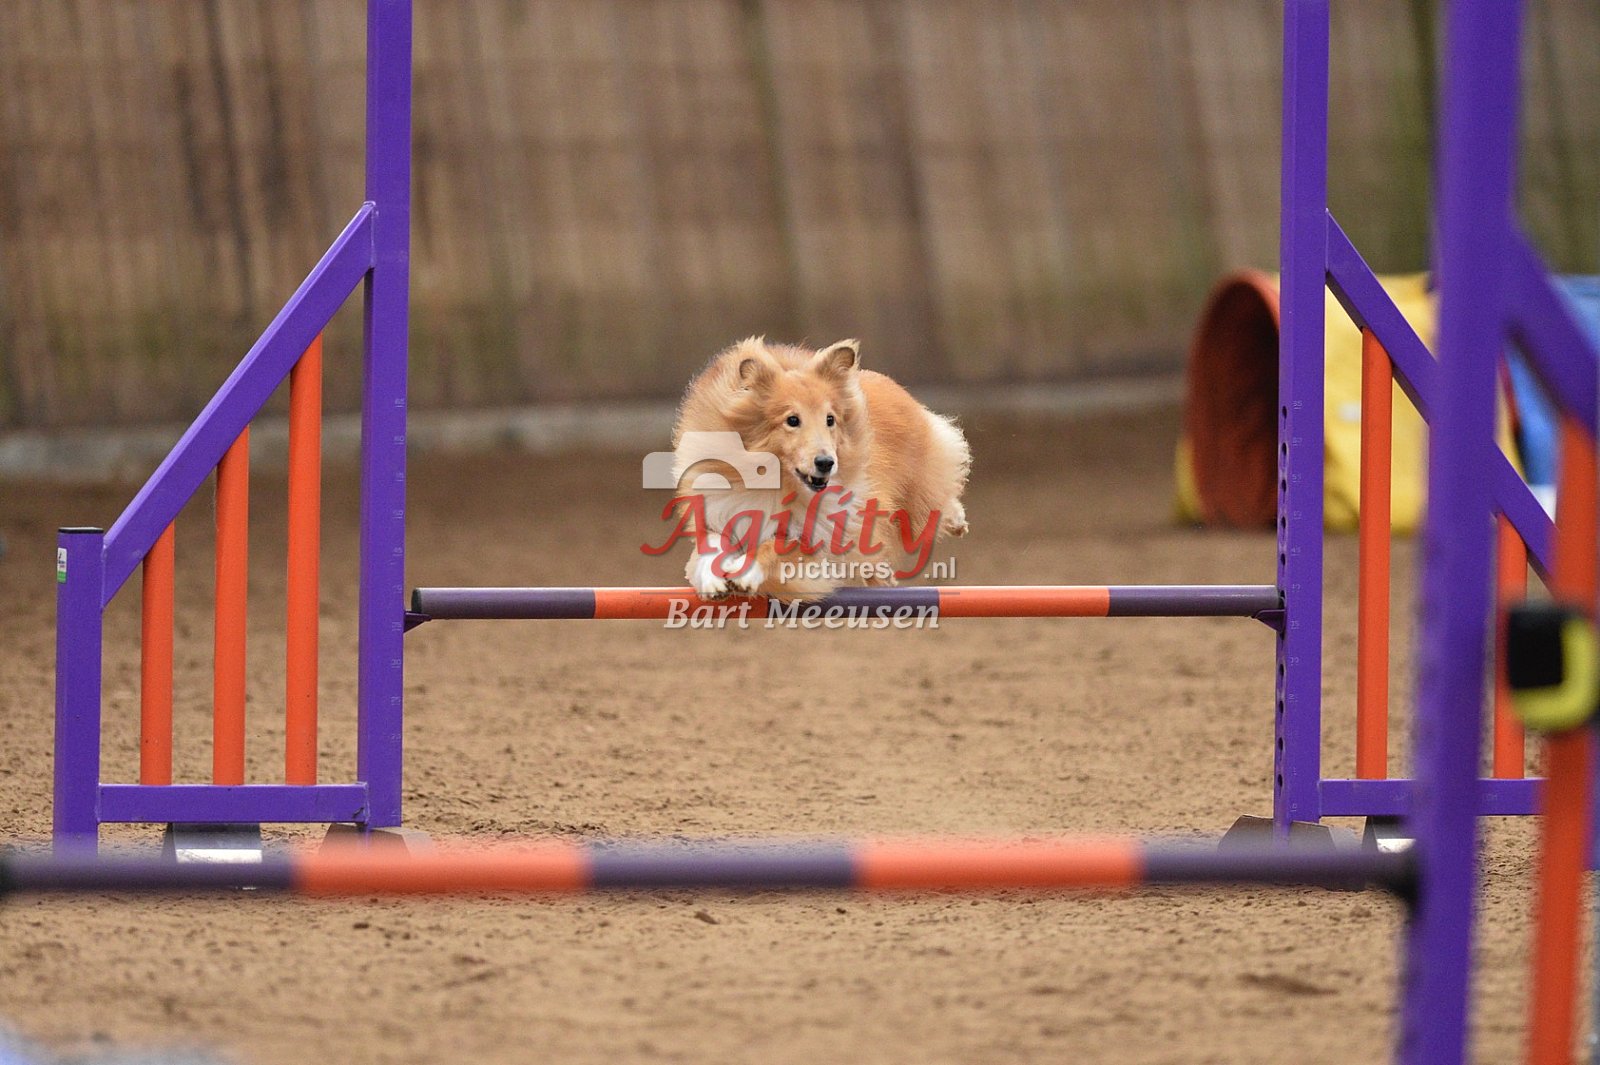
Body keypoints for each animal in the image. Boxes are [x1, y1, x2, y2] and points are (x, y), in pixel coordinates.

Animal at [667, 337, 969, 600]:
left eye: (830, 419)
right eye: (792, 420)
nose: (826, 463)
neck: (772, 479)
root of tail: (889, 383)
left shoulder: (815, 532)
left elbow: (773, 548)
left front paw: (744, 573)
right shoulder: (718, 507)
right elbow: (711, 545)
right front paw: (712, 581)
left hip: (917, 496)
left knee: (936, 499)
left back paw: (956, 521)